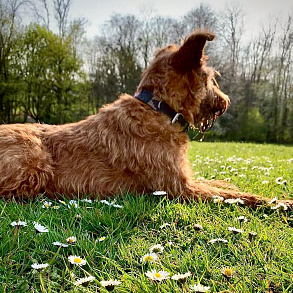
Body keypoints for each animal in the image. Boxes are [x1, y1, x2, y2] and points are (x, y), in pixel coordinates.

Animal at [0, 30, 290, 205]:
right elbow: (236, 196)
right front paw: (281, 203)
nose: (225, 102)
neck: (159, 108)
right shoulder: (179, 188)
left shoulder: (185, 180)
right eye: (209, 78)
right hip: (34, 155)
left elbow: (221, 185)